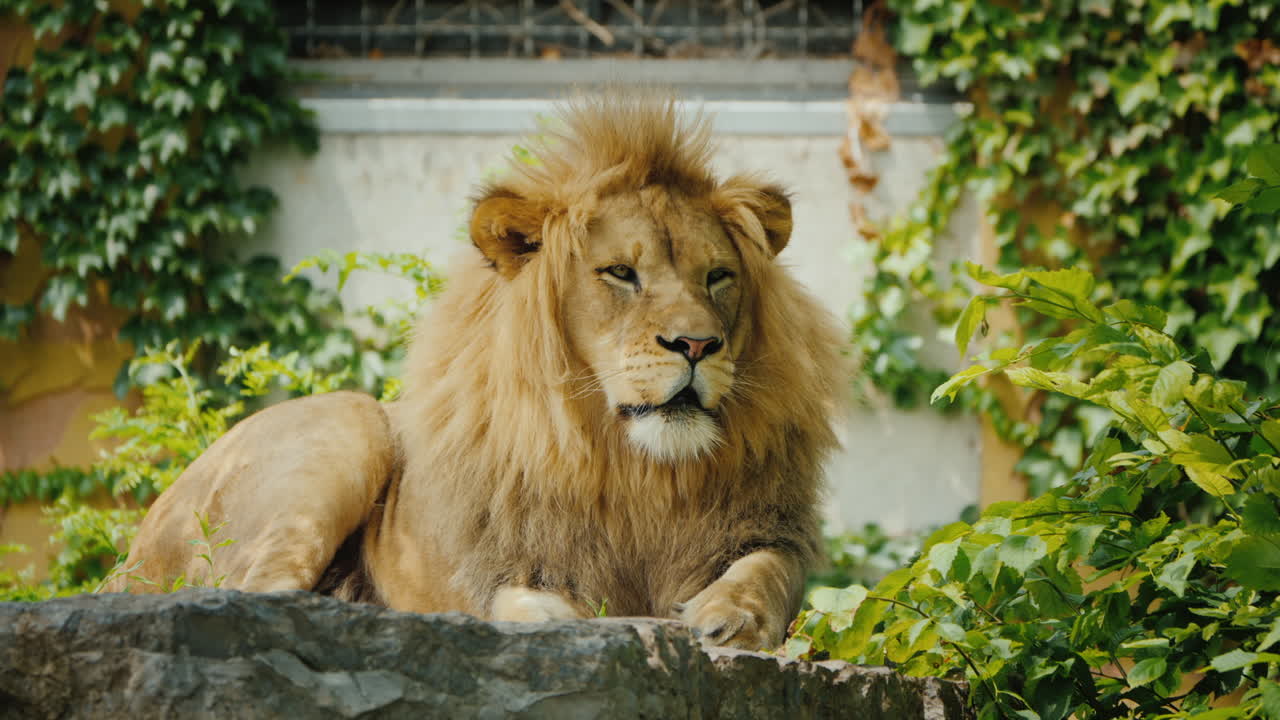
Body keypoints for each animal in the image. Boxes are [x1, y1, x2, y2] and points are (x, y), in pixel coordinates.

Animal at [108, 92, 848, 650]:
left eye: (718, 277)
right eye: (620, 273)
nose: (696, 344)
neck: (634, 471)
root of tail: (128, 559)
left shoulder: (771, 530)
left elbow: (767, 573)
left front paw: (730, 617)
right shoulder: (499, 561)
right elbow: (524, 601)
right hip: (344, 430)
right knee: (249, 596)